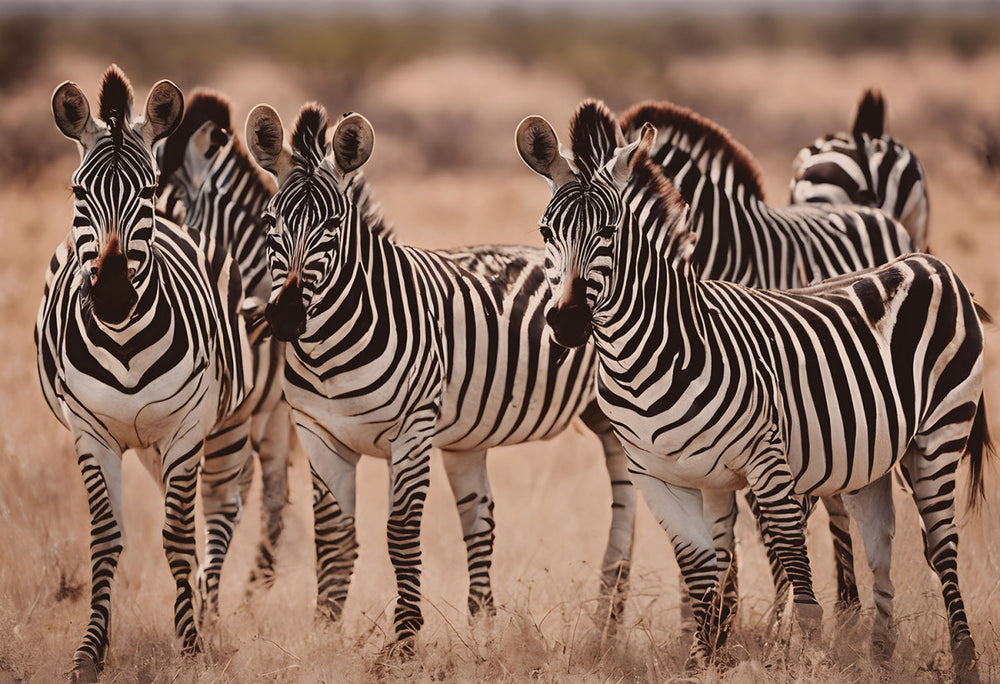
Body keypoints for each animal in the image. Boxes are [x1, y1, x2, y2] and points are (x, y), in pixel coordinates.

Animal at [35, 66, 254, 681]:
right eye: (79, 193)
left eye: (148, 192)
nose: (111, 296)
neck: (125, 341)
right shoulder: (89, 434)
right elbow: (107, 539)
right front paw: (91, 649)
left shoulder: (186, 431)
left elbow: (178, 536)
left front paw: (191, 645)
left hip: (222, 430)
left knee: (216, 515)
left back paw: (208, 616)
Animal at [242, 101, 638, 650]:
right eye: (269, 221)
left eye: (334, 223)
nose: (283, 317)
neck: (329, 354)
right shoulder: (318, 432)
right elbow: (334, 534)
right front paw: (324, 632)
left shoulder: (412, 429)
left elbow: (401, 531)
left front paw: (404, 642)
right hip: (534, 428)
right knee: (491, 518)